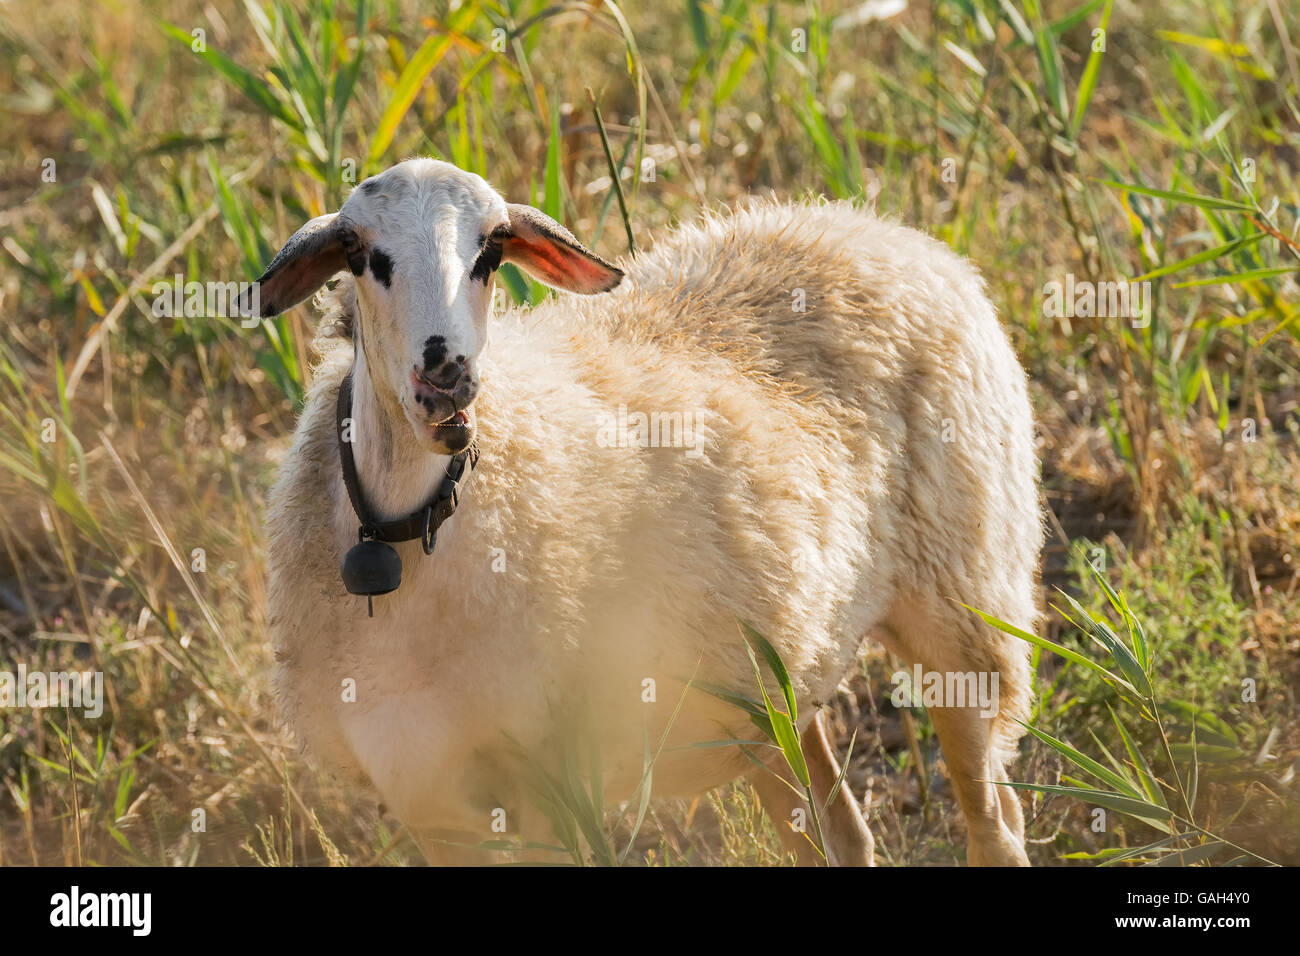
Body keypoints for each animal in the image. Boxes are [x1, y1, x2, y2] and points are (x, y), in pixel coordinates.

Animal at [257, 157, 1043, 866]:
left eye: (491, 251)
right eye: (361, 254)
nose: (446, 375)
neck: (407, 527)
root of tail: (884, 231)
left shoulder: (553, 783)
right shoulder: (432, 801)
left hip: (966, 603)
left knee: (994, 825)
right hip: (783, 678)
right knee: (845, 833)